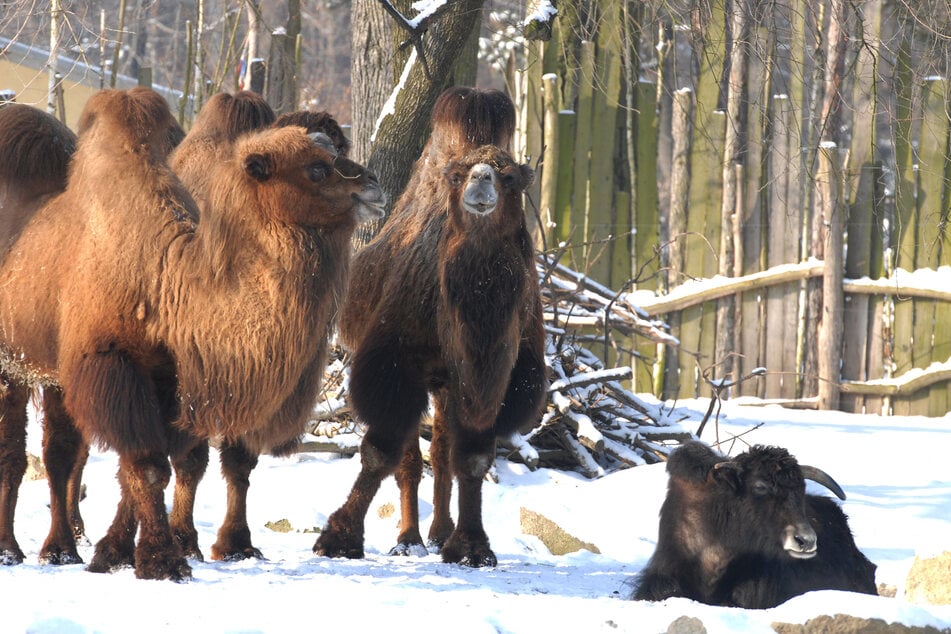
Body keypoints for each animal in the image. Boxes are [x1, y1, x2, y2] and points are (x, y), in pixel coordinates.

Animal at [0, 87, 384, 576]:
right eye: (315, 167)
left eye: (337, 151)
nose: (373, 184)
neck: (164, 281)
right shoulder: (115, 365)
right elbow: (147, 465)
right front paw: (162, 561)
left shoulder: (169, 377)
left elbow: (157, 466)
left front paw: (117, 552)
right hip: (12, 362)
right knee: (17, 453)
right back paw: (16, 549)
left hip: (51, 372)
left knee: (60, 452)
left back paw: (63, 548)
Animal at [316, 137, 548, 564]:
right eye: (457, 176)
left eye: (510, 178)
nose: (481, 180)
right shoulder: (395, 364)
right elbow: (381, 450)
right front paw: (339, 537)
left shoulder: (498, 379)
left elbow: (473, 458)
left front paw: (471, 546)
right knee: (409, 456)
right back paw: (410, 539)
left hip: (446, 384)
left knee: (440, 452)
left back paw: (440, 533)